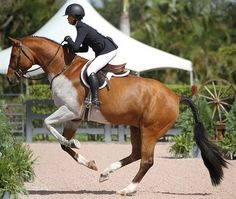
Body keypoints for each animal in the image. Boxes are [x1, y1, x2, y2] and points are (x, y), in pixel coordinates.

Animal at [6, 36, 227, 196]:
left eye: (14, 55)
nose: (9, 79)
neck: (63, 68)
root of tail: (176, 96)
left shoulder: (70, 110)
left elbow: (47, 123)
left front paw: (75, 143)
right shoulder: (75, 118)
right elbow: (63, 144)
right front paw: (88, 161)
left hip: (151, 130)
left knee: (146, 161)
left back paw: (128, 189)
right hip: (136, 127)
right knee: (136, 154)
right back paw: (105, 173)